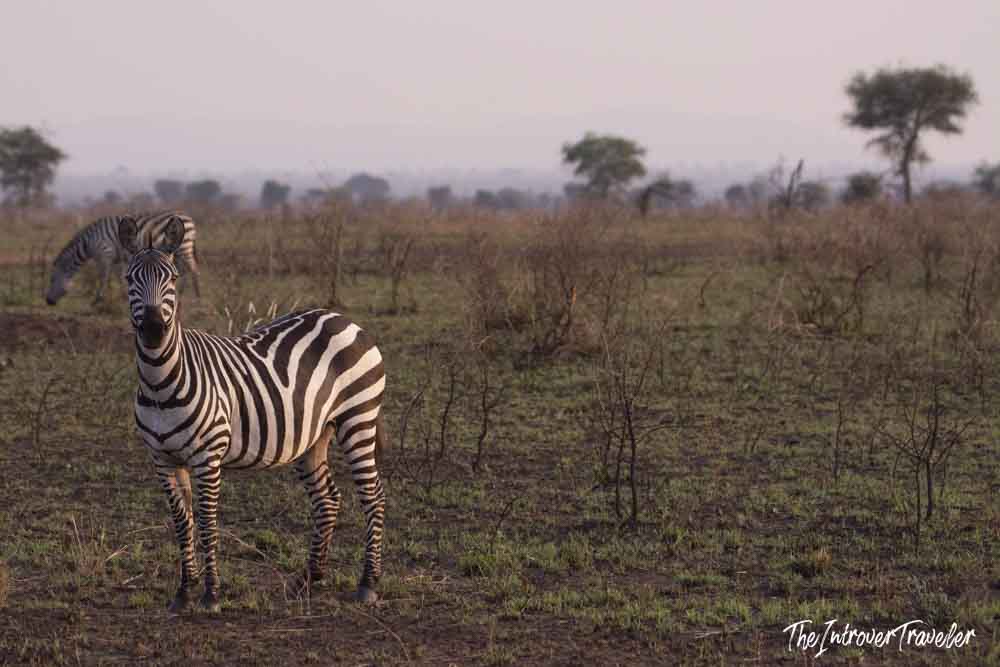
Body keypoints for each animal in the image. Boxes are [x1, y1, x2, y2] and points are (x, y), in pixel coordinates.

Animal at [46, 211, 201, 306]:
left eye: (52, 280)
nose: (48, 301)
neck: (89, 242)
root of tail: (189, 218)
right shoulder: (116, 258)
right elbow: (118, 277)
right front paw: (122, 296)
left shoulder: (105, 254)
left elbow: (103, 276)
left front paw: (97, 299)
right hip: (177, 251)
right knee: (184, 270)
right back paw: (180, 293)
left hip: (184, 247)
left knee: (193, 269)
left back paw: (197, 296)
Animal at [117, 216, 386, 612]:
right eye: (129, 278)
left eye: (173, 278)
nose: (153, 330)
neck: (161, 384)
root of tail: (342, 319)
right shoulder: (162, 460)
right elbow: (183, 524)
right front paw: (184, 591)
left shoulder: (207, 456)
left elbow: (208, 523)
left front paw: (211, 594)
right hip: (314, 435)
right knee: (327, 499)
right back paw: (309, 579)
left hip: (359, 418)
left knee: (373, 495)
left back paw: (368, 583)